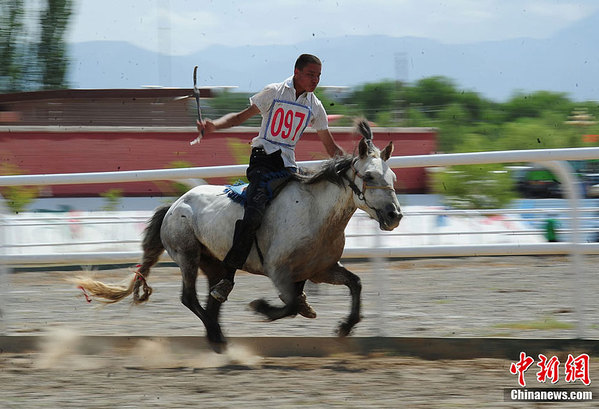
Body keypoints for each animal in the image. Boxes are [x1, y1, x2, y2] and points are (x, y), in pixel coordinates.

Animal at [75, 118, 404, 350]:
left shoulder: (321, 269)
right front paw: (263, 308)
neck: (315, 213)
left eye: (393, 176)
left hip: (214, 264)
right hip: (187, 255)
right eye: (369, 175)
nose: (394, 215)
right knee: (189, 298)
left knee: (212, 300)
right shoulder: (279, 272)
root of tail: (174, 205)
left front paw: (345, 326)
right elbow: (292, 305)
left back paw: (217, 334)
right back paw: (216, 336)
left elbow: (355, 284)